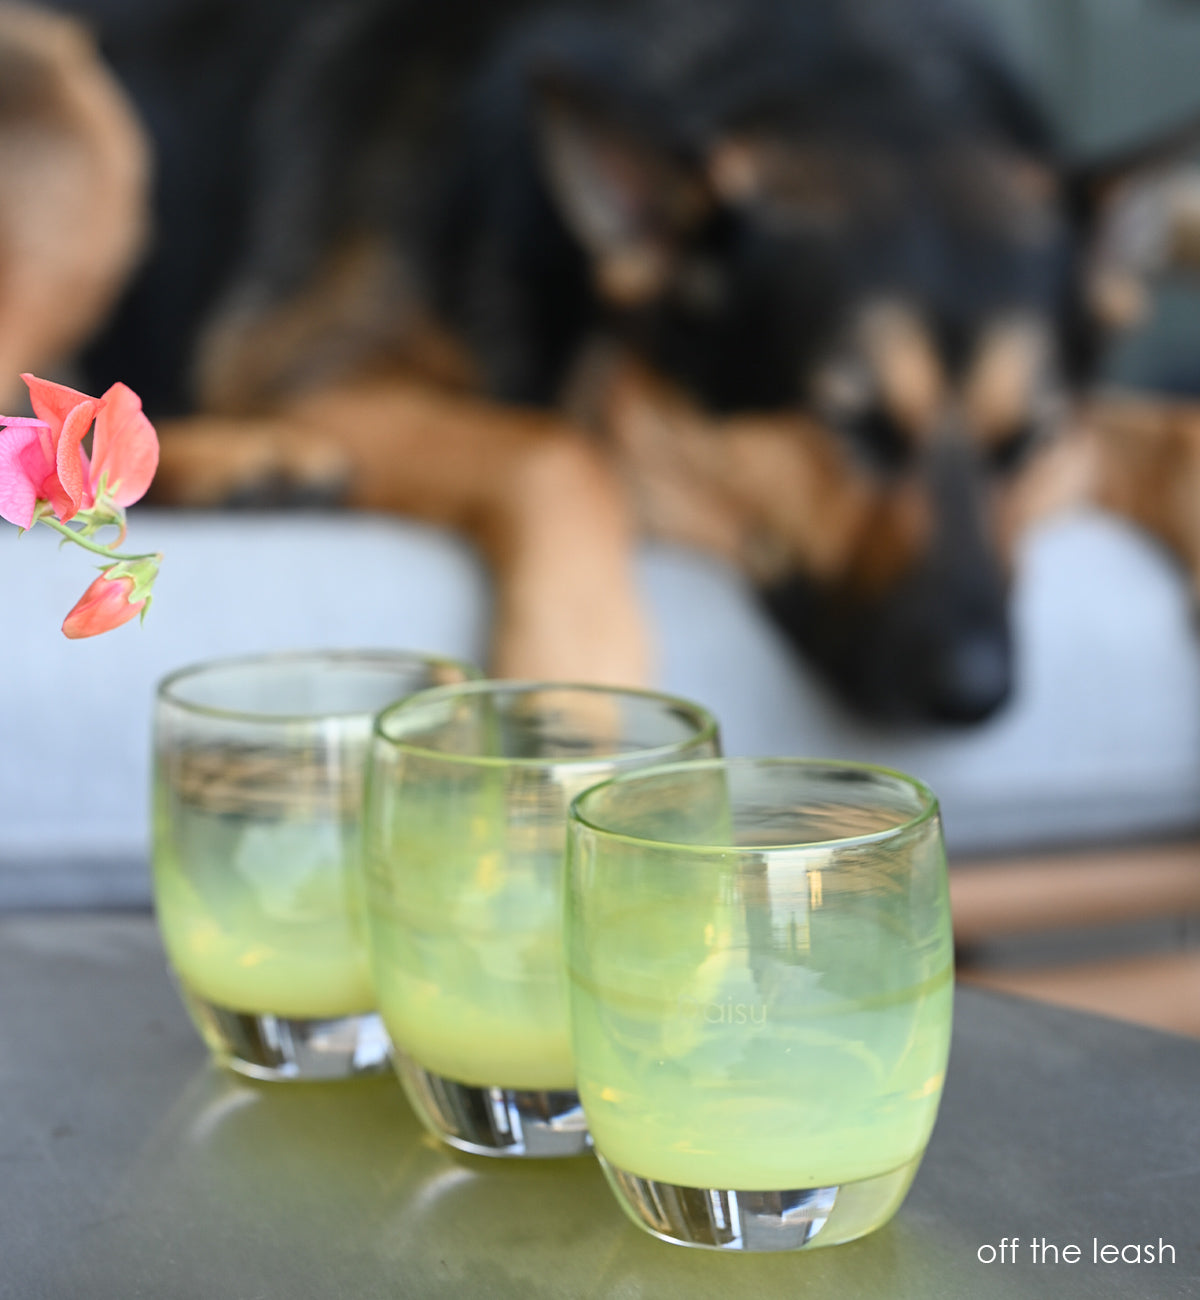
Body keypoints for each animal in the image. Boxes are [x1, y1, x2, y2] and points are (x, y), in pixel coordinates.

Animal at [23, 0, 1200, 722]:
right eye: (850, 425)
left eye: (1028, 441)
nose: (976, 694)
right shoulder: (312, 376)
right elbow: (556, 448)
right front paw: (575, 680)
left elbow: (1165, 428)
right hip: (68, 90)